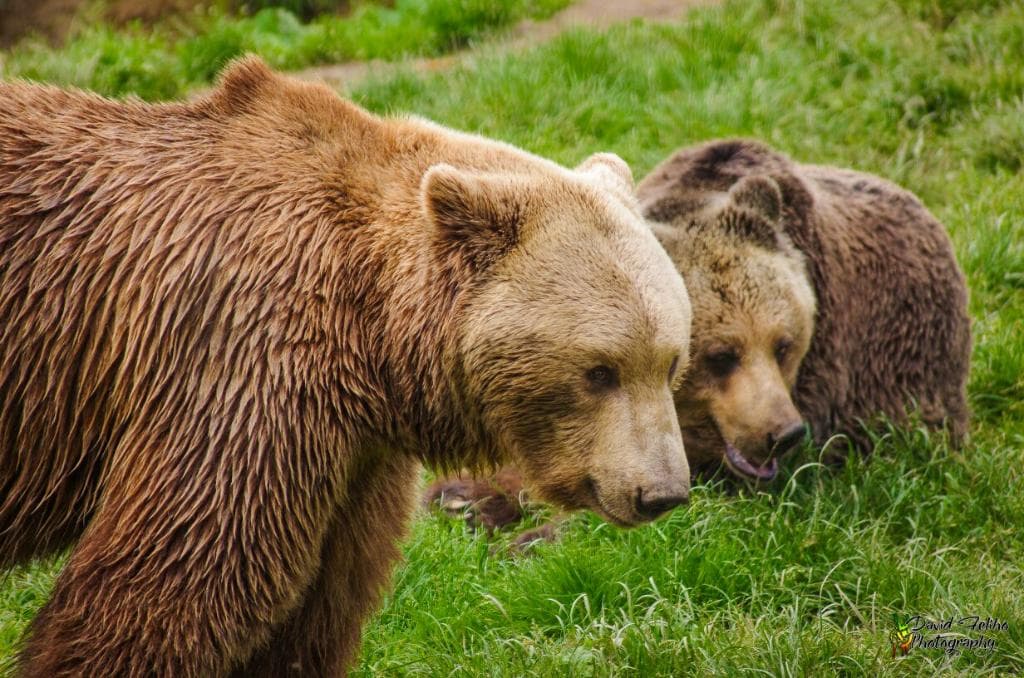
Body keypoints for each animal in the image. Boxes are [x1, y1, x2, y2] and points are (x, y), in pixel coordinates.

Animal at [0, 57, 693, 676]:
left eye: (669, 362)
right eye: (599, 370)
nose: (662, 493)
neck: (372, 328)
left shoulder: (352, 457)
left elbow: (316, 609)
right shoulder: (240, 362)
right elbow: (173, 580)